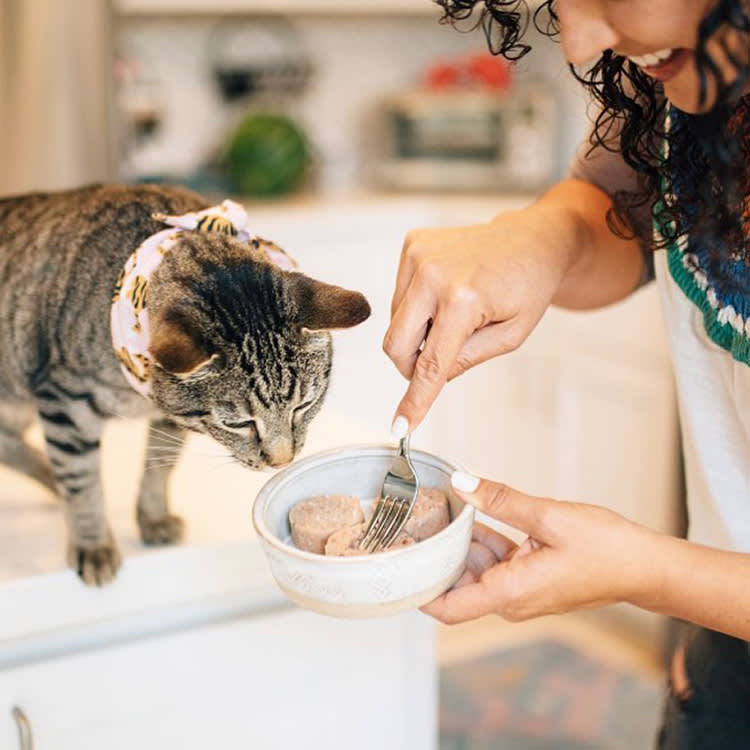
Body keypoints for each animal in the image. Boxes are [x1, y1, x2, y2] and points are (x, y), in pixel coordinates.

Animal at [0, 182, 372, 588]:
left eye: (304, 405)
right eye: (240, 423)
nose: (281, 461)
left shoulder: (171, 418)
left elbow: (159, 468)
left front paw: (153, 518)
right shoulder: (67, 401)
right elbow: (82, 480)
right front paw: (92, 544)